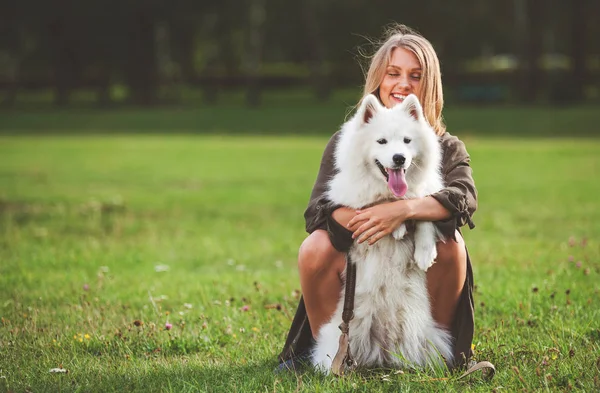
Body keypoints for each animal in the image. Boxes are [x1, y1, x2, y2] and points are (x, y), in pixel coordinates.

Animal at [312, 93, 452, 372]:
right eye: (382, 141)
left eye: (407, 141)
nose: (399, 158)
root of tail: (381, 350)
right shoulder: (350, 202)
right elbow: (379, 205)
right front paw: (394, 223)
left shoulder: (429, 193)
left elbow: (421, 209)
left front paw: (424, 251)